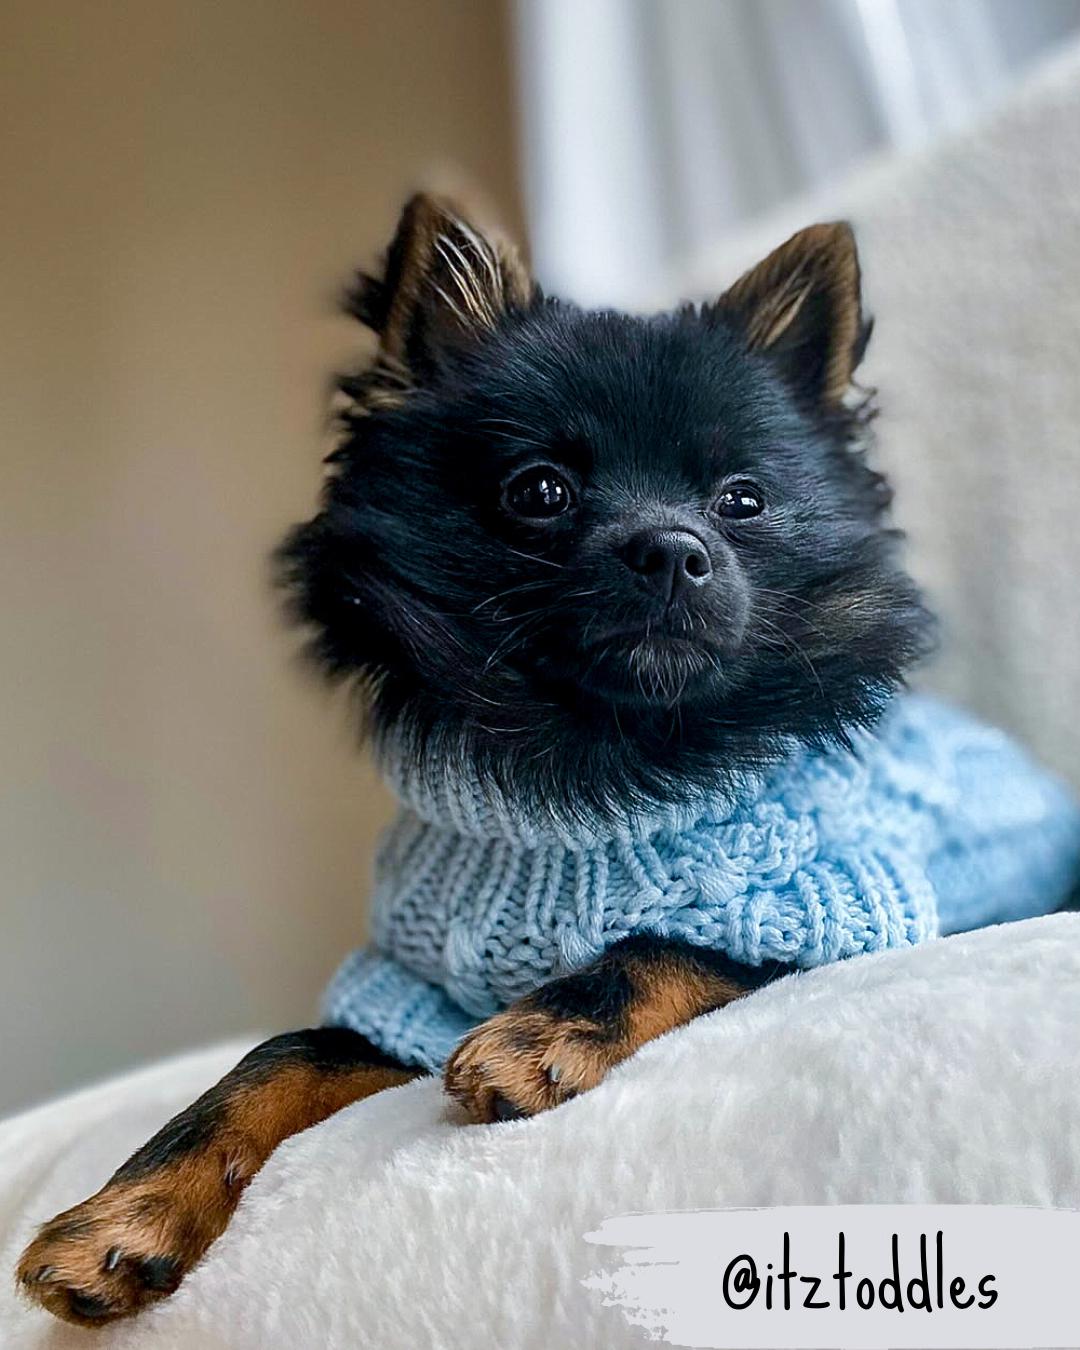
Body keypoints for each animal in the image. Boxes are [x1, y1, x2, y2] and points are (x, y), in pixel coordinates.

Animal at [16, 195, 934, 1323]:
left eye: (743, 502)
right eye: (538, 491)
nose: (673, 548)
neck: (589, 769)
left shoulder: (829, 906)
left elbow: (666, 944)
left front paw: (545, 1032)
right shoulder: (404, 994)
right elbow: (271, 1061)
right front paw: (128, 1212)